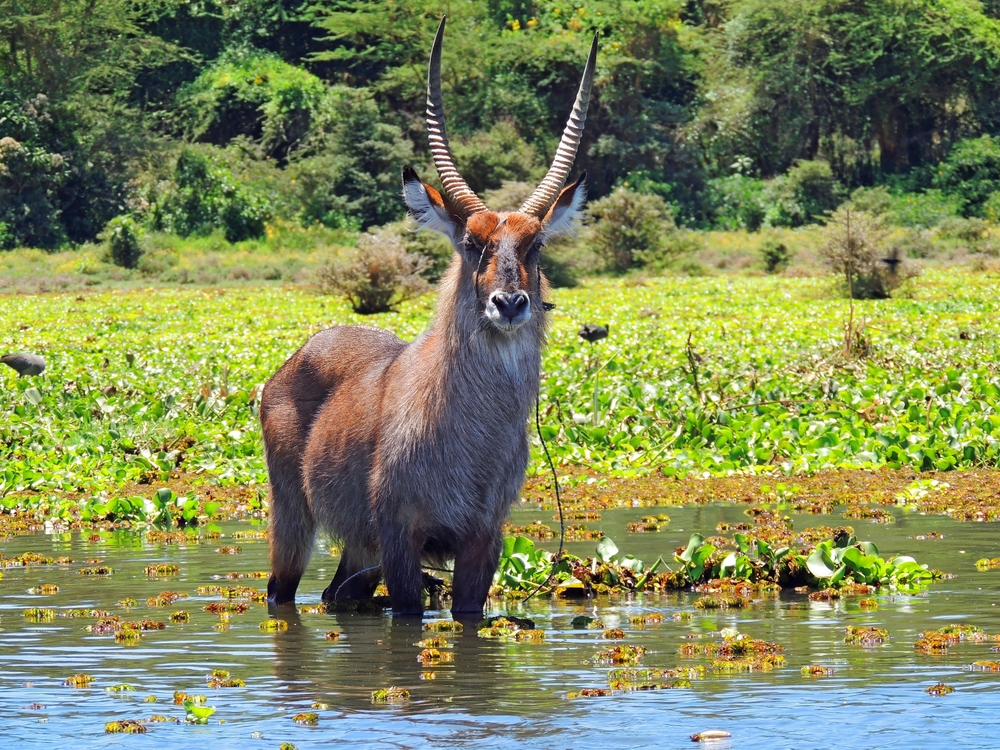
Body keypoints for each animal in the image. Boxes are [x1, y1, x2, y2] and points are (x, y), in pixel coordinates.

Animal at [262, 19, 596, 616]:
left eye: (534, 244)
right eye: (471, 242)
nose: (509, 304)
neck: (473, 438)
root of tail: (294, 361)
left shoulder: (484, 539)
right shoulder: (401, 537)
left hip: (359, 548)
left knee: (336, 594)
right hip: (293, 518)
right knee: (281, 592)